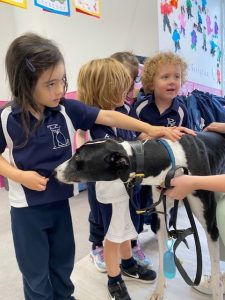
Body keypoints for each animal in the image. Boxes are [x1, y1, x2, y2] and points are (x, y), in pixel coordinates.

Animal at [55, 134, 225, 300]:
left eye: (78, 157)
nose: (53, 172)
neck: (173, 163)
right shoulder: (161, 220)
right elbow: (162, 256)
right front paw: (159, 291)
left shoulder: (211, 228)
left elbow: (215, 269)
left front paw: (216, 291)